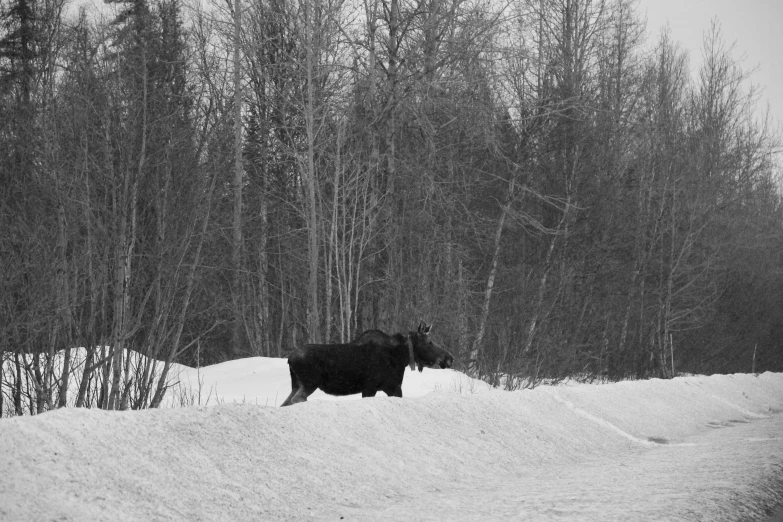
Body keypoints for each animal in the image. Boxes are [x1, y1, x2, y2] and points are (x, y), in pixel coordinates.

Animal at [280, 320, 454, 406]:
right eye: (429, 342)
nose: (450, 358)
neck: (400, 357)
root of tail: (289, 359)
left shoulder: (393, 387)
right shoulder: (370, 387)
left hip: (296, 384)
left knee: (286, 402)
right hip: (310, 383)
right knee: (296, 400)